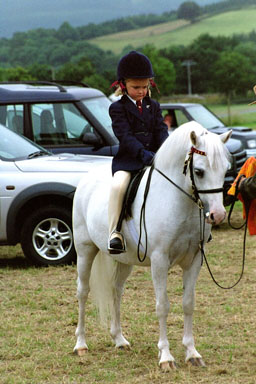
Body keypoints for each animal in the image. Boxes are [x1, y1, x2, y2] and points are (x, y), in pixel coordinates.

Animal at [72, 121, 232, 370]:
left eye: (225, 170)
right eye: (199, 171)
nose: (218, 215)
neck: (179, 200)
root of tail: (86, 179)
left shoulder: (194, 260)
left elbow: (188, 303)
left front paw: (192, 353)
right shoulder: (159, 260)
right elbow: (162, 306)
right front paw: (166, 357)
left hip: (124, 259)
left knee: (116, 290)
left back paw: (119, 340)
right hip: (85, 250)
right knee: (83, 291)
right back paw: (80, 344)